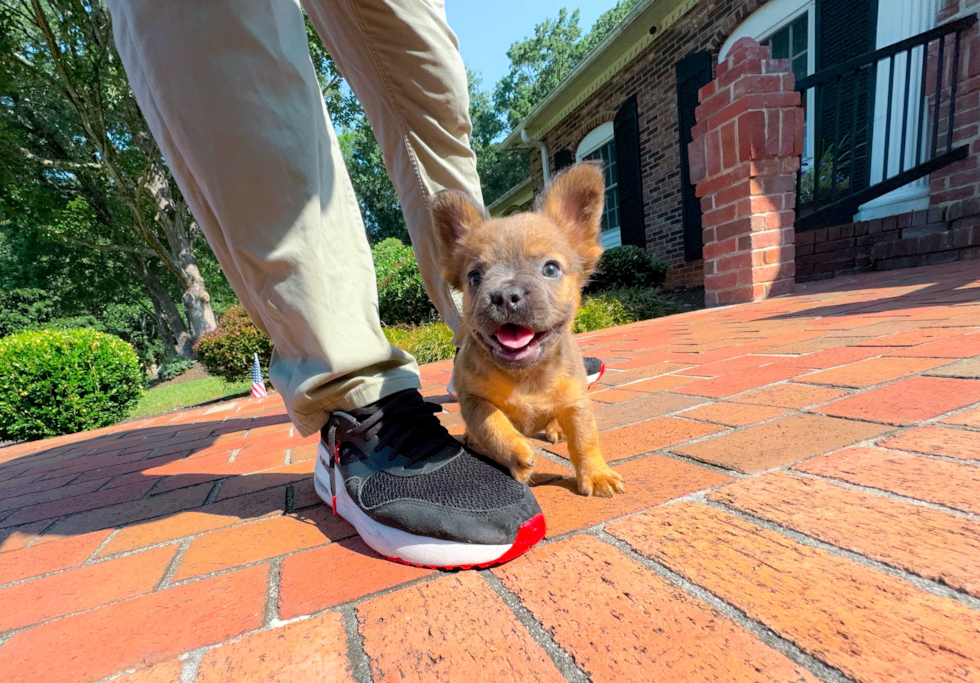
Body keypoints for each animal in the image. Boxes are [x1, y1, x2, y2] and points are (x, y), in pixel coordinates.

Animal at [432, 164, 624, 500]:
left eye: (550, 269)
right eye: (475, 277)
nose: (505, 294)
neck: (526, 375)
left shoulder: (576, 402)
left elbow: (585, 439)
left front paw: (596, 474)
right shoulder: (473, 400)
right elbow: (492, 425)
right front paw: (516, 453)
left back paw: (555, 429)